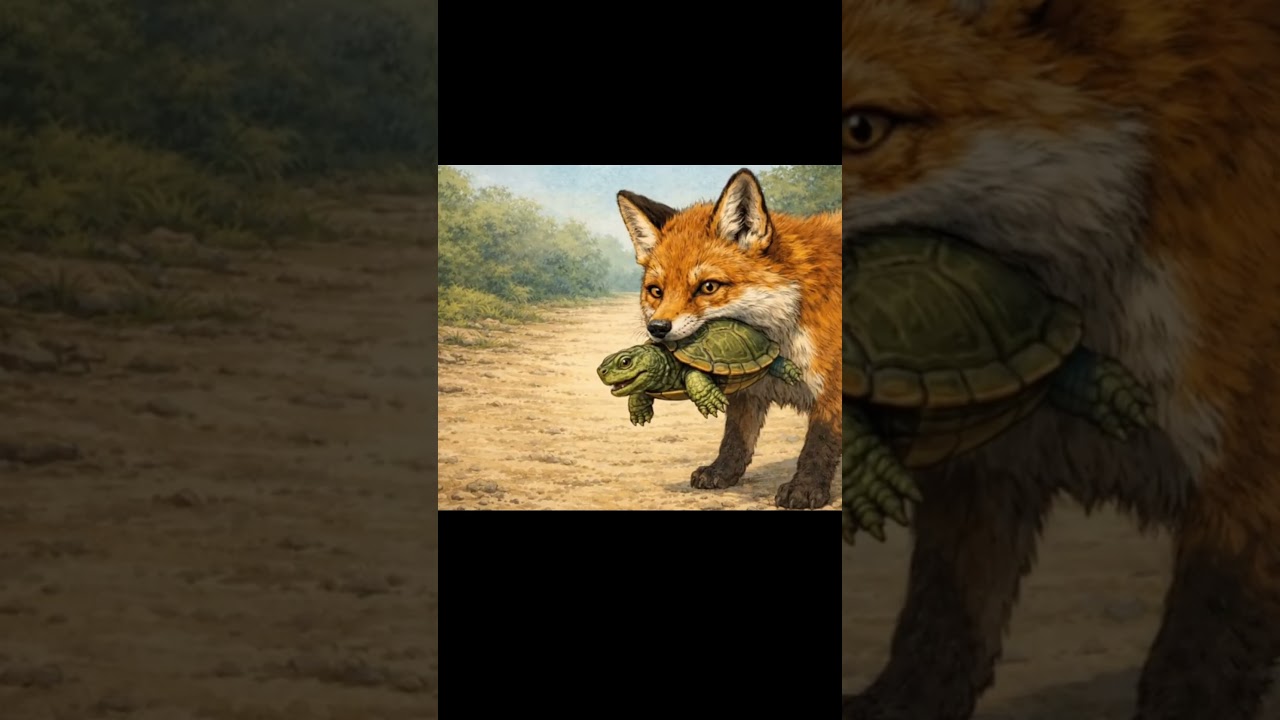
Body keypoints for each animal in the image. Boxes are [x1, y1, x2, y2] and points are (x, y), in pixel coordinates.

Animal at [615, 168, 841, 509]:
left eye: (708, 287)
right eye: (656, 291)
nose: (657, 328)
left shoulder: (834, 389)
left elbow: (819, 442)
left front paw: (806, 487)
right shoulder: (750, 389)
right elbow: (735, 438)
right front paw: (721, 472)